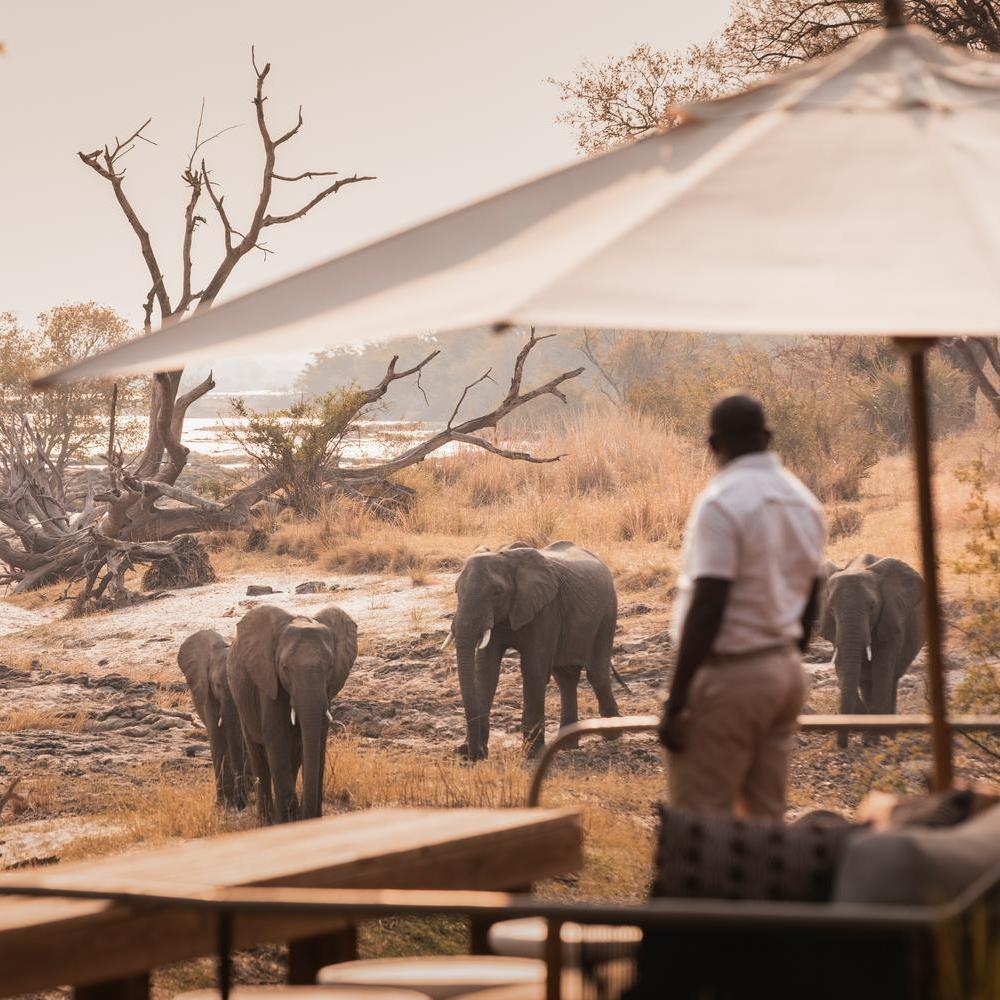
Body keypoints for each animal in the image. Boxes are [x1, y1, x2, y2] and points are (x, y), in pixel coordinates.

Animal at [227, 604, 358, 824]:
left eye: (330, 667)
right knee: (259, 759)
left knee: (294, 757)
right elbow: (276, 740)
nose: (309, 815)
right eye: (285, 668)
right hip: (242, 703)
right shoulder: (268, 683)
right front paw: (287, 820)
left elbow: (318, 740)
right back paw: (266, 822)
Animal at [445, 540, 623, 762]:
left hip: (607, 614)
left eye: (497, 592)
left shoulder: (546, 609)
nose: (473, 755)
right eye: (456, 590)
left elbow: (533, 669)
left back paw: (612, 736)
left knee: (596, 675)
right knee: (565, 678)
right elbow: (486, 671)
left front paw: (531, 754)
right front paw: (469, 751)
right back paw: (568, 746)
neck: (506, 557)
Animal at [819, 553, 925, 747]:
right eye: (830, 609)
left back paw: (889, 737)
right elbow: (844, 668)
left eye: (873, 607)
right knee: (867, 681)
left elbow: (882, 671)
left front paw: (870, 740)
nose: (842, 745)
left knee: (891, 679)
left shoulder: (891, 618)